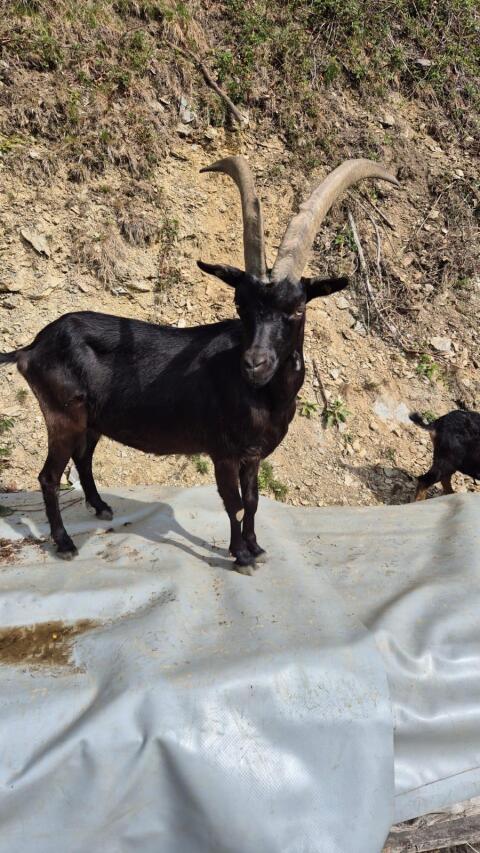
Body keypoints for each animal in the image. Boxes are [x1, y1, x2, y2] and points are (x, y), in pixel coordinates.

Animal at [0, 157, 398, 572]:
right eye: (240, 304)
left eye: (297, 308)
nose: (254, 363)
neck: (265, 397)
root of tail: (32, 347)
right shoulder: (222, 450)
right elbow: (234, 504)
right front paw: (241, 556)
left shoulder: (252, 454)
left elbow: (253, 501)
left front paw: (256, 547)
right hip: (62, 415)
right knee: (48, 476)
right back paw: (64, 543)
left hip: (91, 419)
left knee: (83, 458)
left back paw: (101, 507)